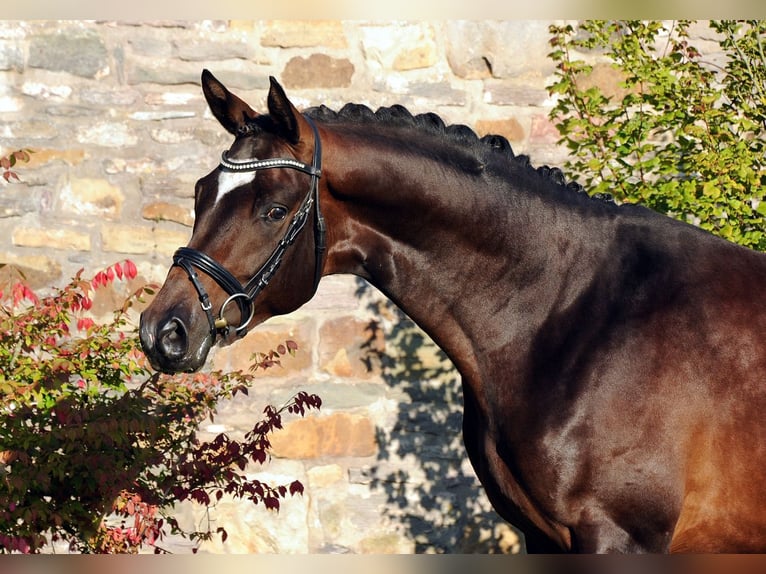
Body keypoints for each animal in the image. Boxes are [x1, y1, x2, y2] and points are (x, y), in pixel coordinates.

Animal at [141, 71, 766, 552]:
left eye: (274, 209)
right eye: (200, 192)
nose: (162, 330)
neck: (571, 312)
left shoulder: (620, 537)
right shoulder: (543, 539)